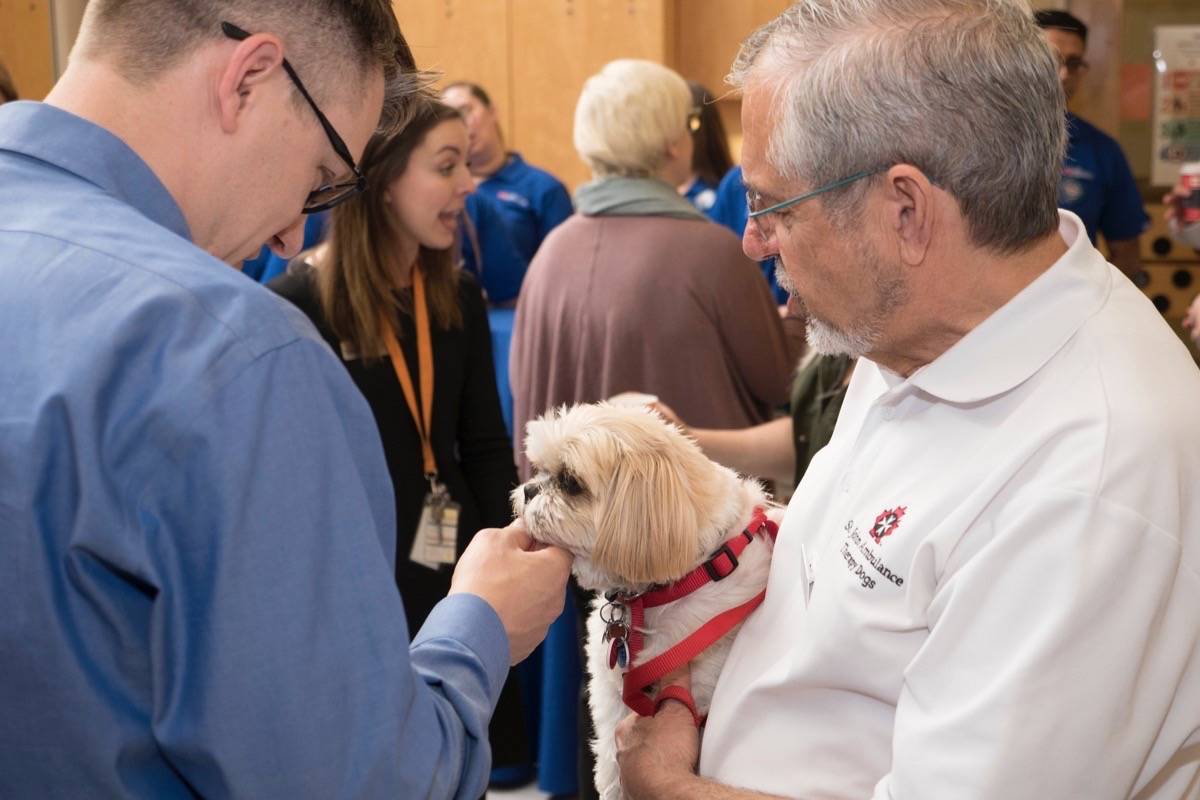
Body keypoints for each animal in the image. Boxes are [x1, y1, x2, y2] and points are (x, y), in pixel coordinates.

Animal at [513, 407, 777, 800]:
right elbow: (611, 757)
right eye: (539, 469)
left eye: (570, 482)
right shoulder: (612, 692)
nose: (529, 490)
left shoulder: (697, 694)